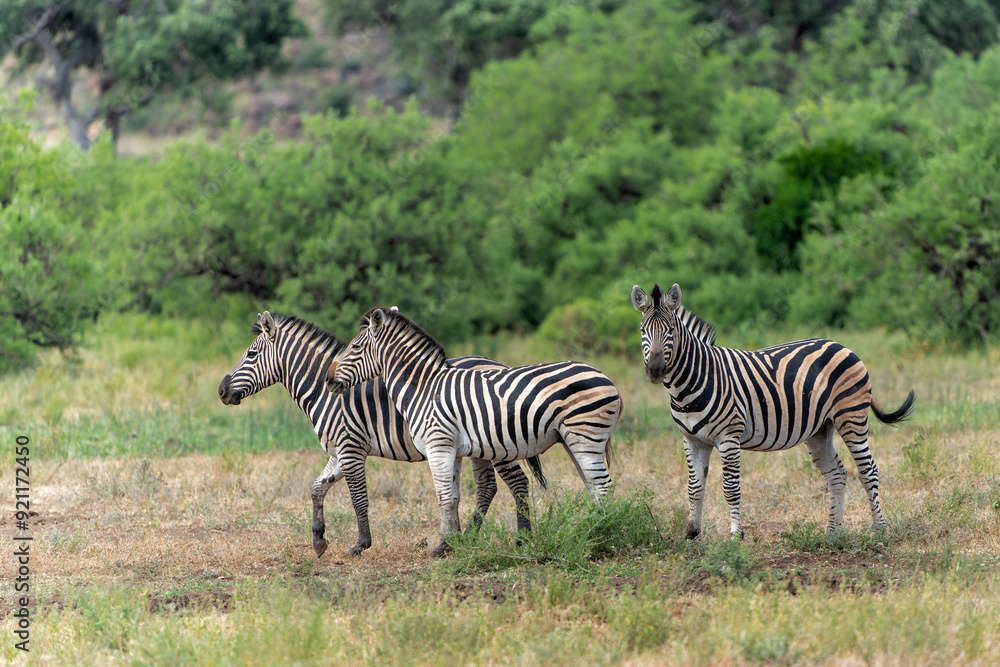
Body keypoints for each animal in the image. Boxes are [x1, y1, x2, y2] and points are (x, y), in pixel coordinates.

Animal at [217, 311, 545, 557]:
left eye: (251, 354)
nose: (221, 391)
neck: (327, 393)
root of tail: (499, 363)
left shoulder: (350, 447)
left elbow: (358, 498)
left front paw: (361, 545)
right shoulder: (339, 451)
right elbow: (317, 489)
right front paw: (319, 540)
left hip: (497, 442)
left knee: (517, 482)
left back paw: (522, 539)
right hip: (478, 447)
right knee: (488, 487)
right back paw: (468, 537)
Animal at [325, 307, 623, 556]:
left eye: (354, 346)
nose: (328, 379)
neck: (423, 389)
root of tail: (607, 378)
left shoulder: (438, 445)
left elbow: (443, 497)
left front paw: (441, 547)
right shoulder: (453, 450)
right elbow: (454, 497)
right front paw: (451, 543)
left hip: (585, 436)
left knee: (603, 485)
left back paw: (601, 536)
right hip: (573, 441)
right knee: (593, 487)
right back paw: (590, 533)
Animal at [631, 283, 915, 539]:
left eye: (670, 331)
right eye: (643, 330)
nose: (655, 371)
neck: (690, 385)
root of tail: (841, 345)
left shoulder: (729, 437)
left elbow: (730, 488)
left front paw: (736, 535)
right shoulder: (692, 440)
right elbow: (694, 488)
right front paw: (692, 534)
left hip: (851, 417)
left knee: (868, 470)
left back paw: (879, 529)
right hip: (820, 428)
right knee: (837, 473)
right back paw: (833, 532)